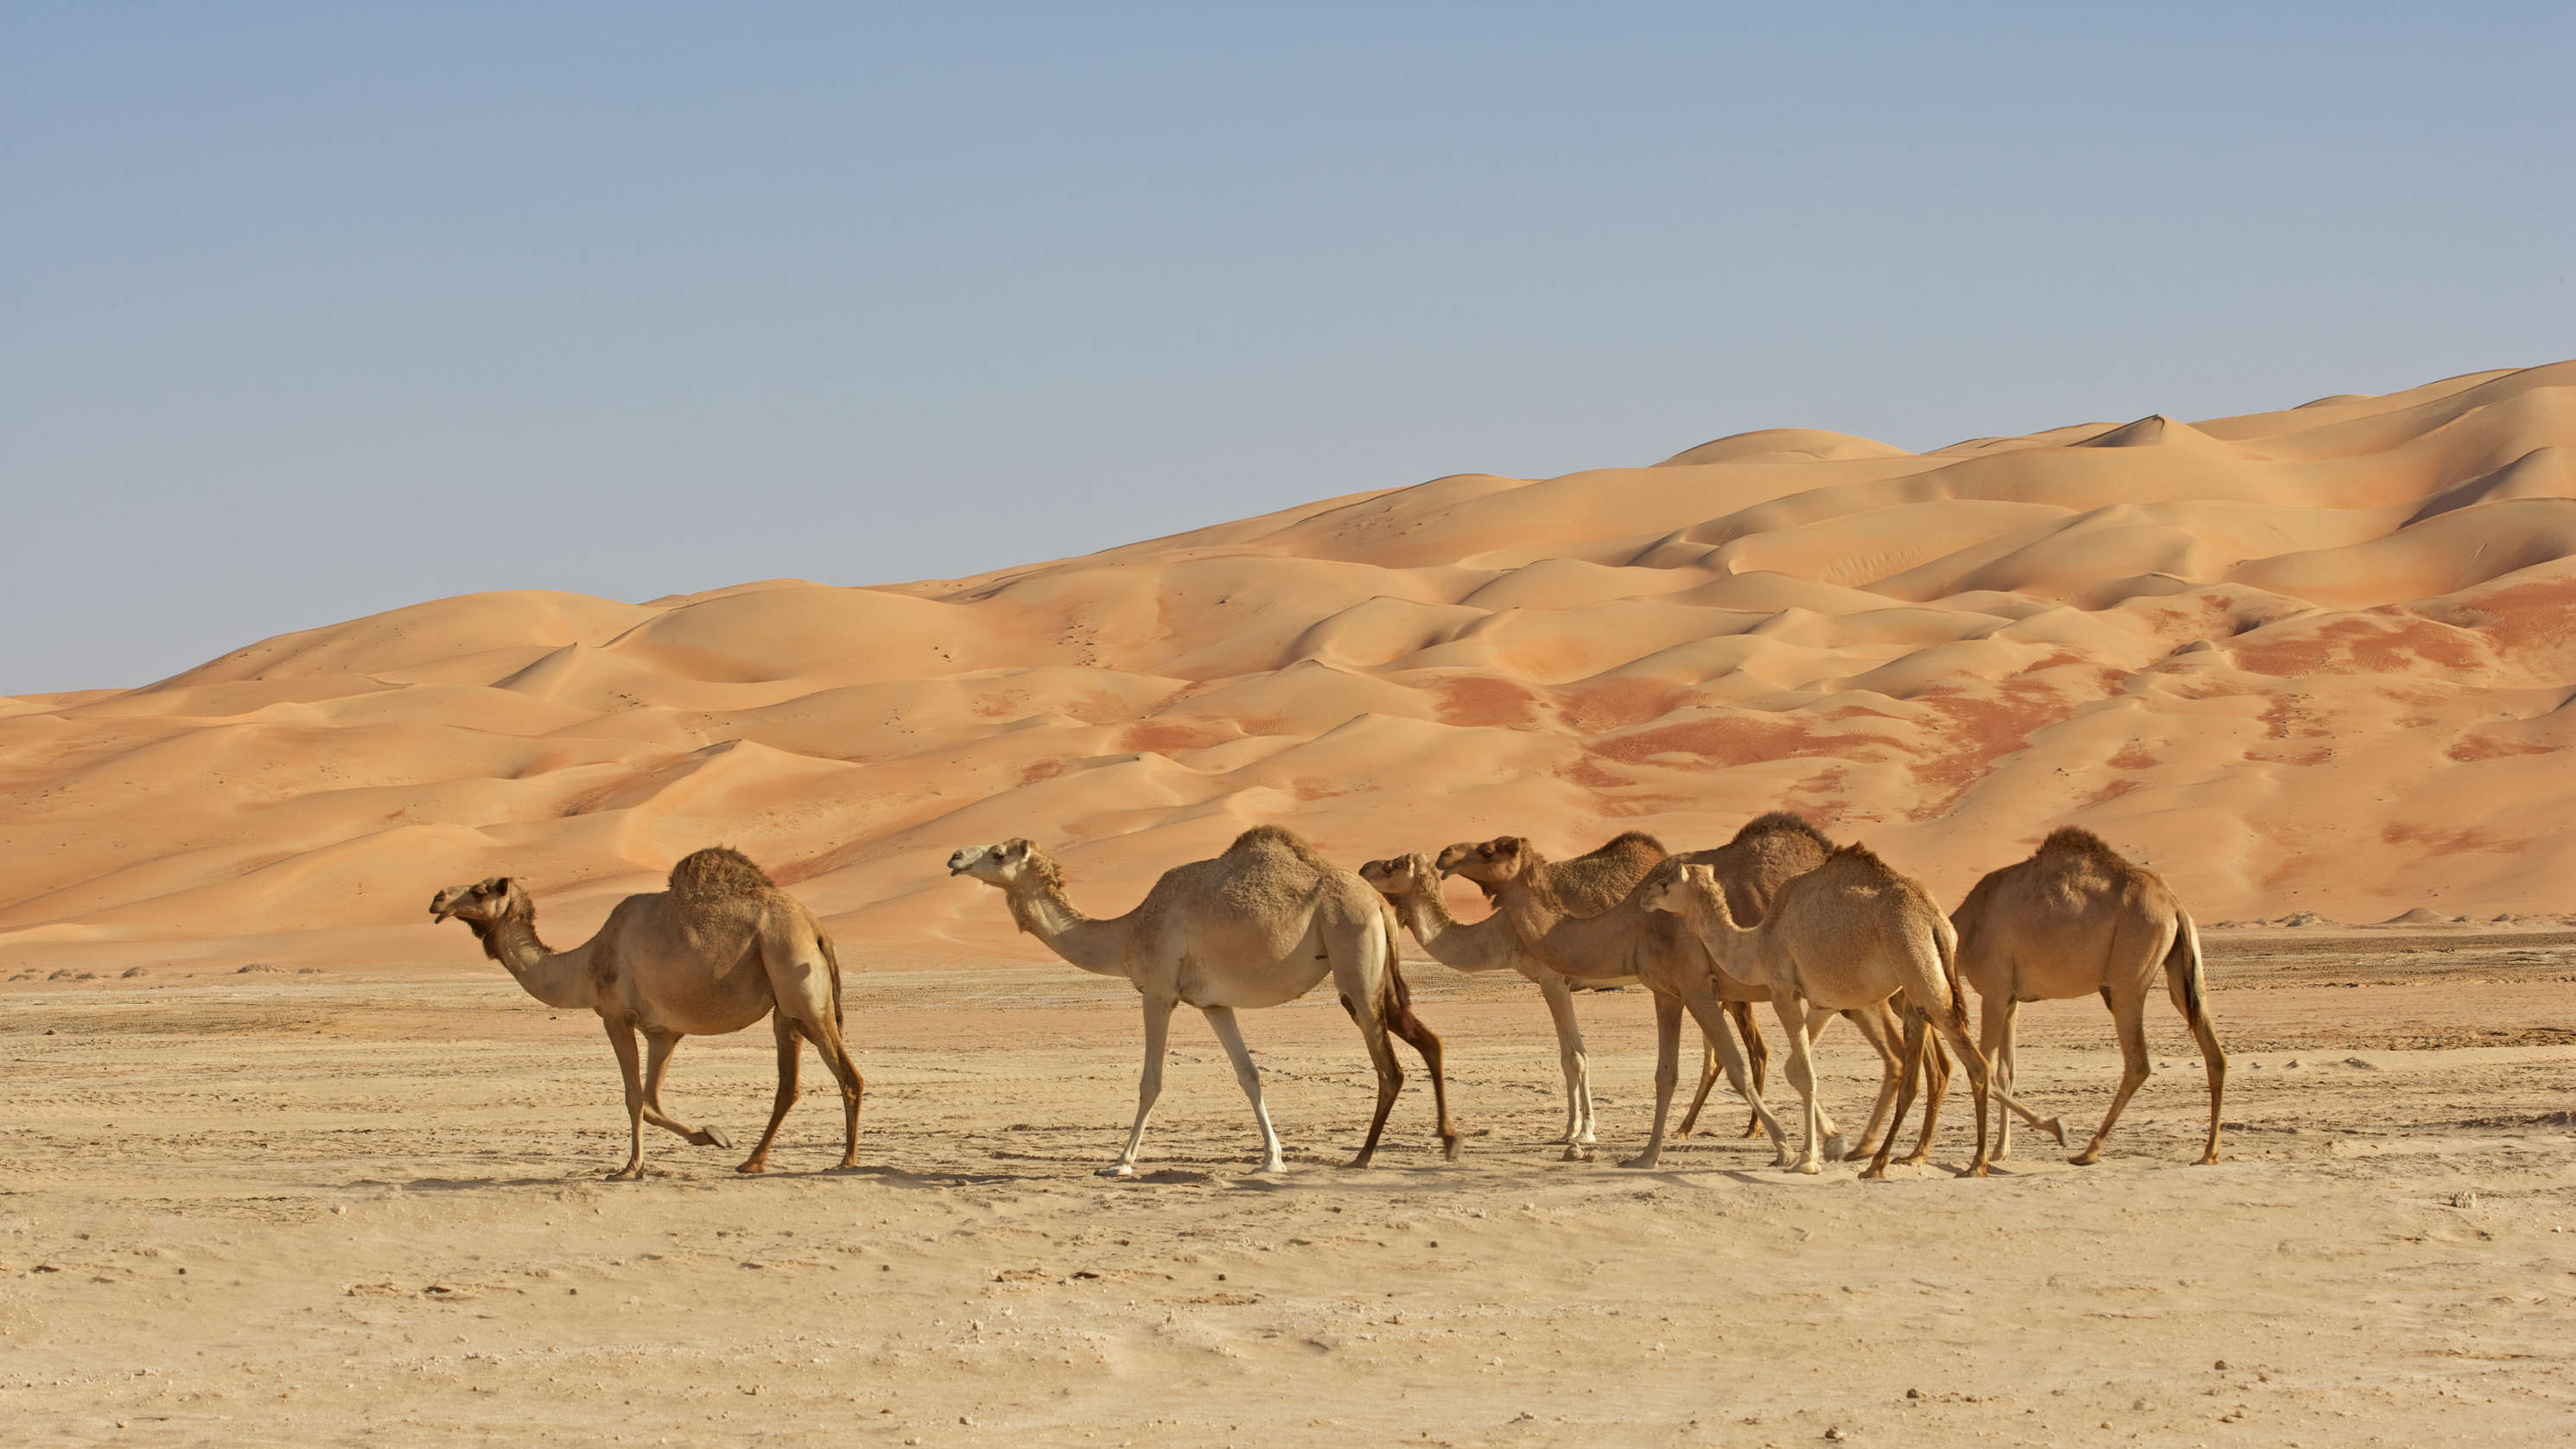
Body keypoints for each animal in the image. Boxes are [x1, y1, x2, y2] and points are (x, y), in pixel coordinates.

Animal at [427, 848, 860, 1179]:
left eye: (480, 890)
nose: (437, 897)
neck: (584, 963)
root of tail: (816, 928)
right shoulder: (663, 1031)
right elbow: (652, 1100)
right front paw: (712, 1135)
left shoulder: (616, 1015)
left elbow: (634, 1097)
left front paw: (630, 1168)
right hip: (784, 1006)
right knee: (789, 1085)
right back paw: (752, 1161)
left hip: (798, 982)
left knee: (847, 1076)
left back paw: (845, 1161)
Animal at [952, 829, 1473, 1179]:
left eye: (998, 853)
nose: (955, 856)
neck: (1127, 931)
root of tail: (1379, 903)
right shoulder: (1214, 1005)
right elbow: (1250, 1076)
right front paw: (1272, 1159)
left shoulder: (1159, 992)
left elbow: (1150, 1081)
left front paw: (1120, 1162)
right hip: (1379, 974)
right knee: (1426, 1039)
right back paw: (1447, 1141)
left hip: (1353, 959)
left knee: (1389, 1067)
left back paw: (1362, 1158)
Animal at [1473, 813, 1916, 1173]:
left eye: (1490, 850)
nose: (1453, 852)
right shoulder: (1669, 990)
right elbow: (1665, 1071)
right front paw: (1641, 1152)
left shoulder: (1692, 985)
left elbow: (1732, 1064)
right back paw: (1861, 1147)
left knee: (1902, 1050)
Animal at [1648, 848, 2070, 1179]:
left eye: (1665, 883)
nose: (1644, 900)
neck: (1757, 942)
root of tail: (1937, 921)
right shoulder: (1824, 1002)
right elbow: (1795, 1068)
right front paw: (1830, 1143)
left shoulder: (1784, 990)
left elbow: (1805, 1073)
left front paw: (1807, 1159)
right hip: (1924, 984)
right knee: (1952, 1066)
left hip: (1917, 970)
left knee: (1967, 1063)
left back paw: (1957, 1162)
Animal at [1947, 829, 2236, 1168]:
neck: (1966, 926)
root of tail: (2174, 905)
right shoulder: (2010, 997)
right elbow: (2007, 1072)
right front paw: (2000, 1151)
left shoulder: (1993, 992)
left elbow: (1984, 1068)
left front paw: (1989, 1155)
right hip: (2182, 974)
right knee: (2214, 1053)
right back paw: (2209, 1152)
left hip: (2126, 982)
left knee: (2138, 1063)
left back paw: (2089, 1150)